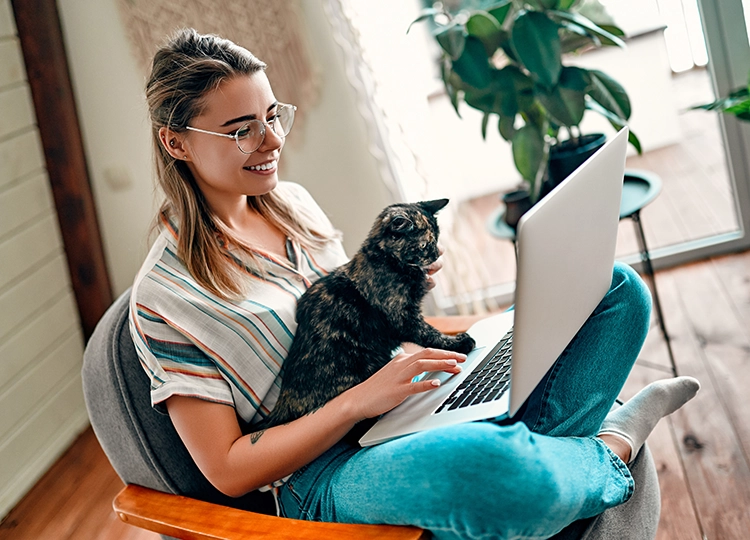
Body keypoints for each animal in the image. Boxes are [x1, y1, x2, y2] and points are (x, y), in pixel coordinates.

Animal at [262, 198, 476, 430]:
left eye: (437, 239)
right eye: (425, 245)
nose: (436, 254)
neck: (385, 260)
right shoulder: (402, 316)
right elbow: (429, 334)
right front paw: (458, 343)